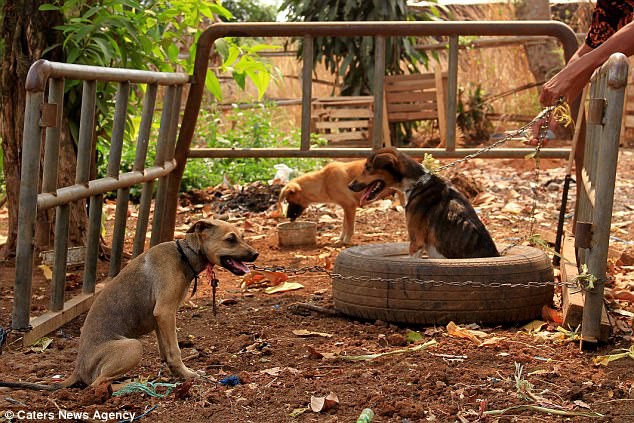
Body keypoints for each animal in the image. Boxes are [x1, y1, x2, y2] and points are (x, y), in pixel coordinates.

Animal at [0, 220, 260, 392]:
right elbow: (175, 351)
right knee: (96, 385)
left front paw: (176, 375)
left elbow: (166, 351)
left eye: (242, 236)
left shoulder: (160, 319)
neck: (184, 254)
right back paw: (130, 384)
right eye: (230, 239)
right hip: (132, 347)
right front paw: (188, 374)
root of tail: (78, 369)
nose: (256, 254)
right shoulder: (165, 312)